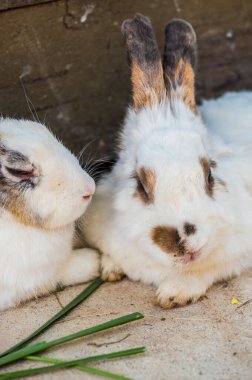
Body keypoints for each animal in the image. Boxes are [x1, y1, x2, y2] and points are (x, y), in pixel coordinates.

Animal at [79, 13, 252, 308]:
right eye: (140, 185)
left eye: (209, 176)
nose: (187, 245)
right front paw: (111, 268)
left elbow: (208, 269)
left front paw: (174, 293)